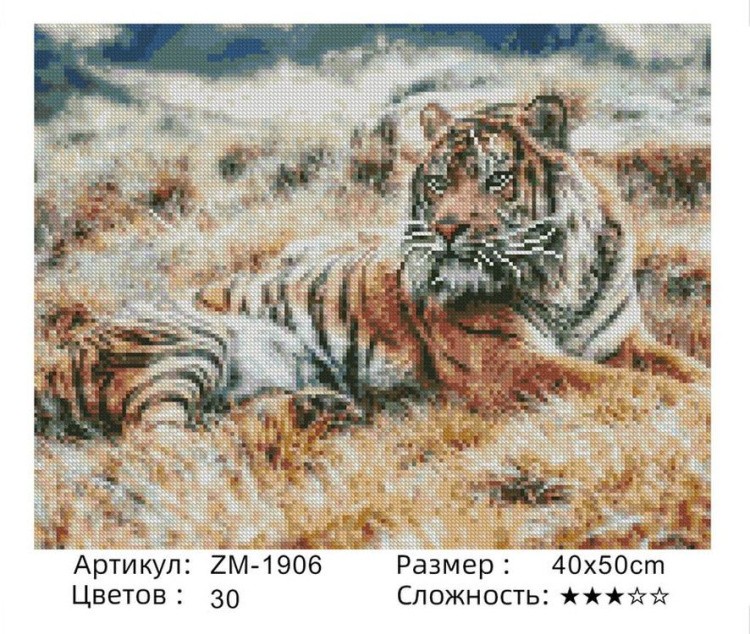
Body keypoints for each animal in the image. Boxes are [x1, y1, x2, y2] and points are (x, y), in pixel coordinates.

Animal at [35, 94, 709, 433]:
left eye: (494, 180)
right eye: (438, 183)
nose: (446, 230)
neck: (560, 276)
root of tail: (56, 353)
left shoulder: (623, 341)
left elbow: (681, 365)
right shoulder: (504, 363)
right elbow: (620, 386)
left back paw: (322, 409)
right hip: (186, 341)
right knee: (157, 440)